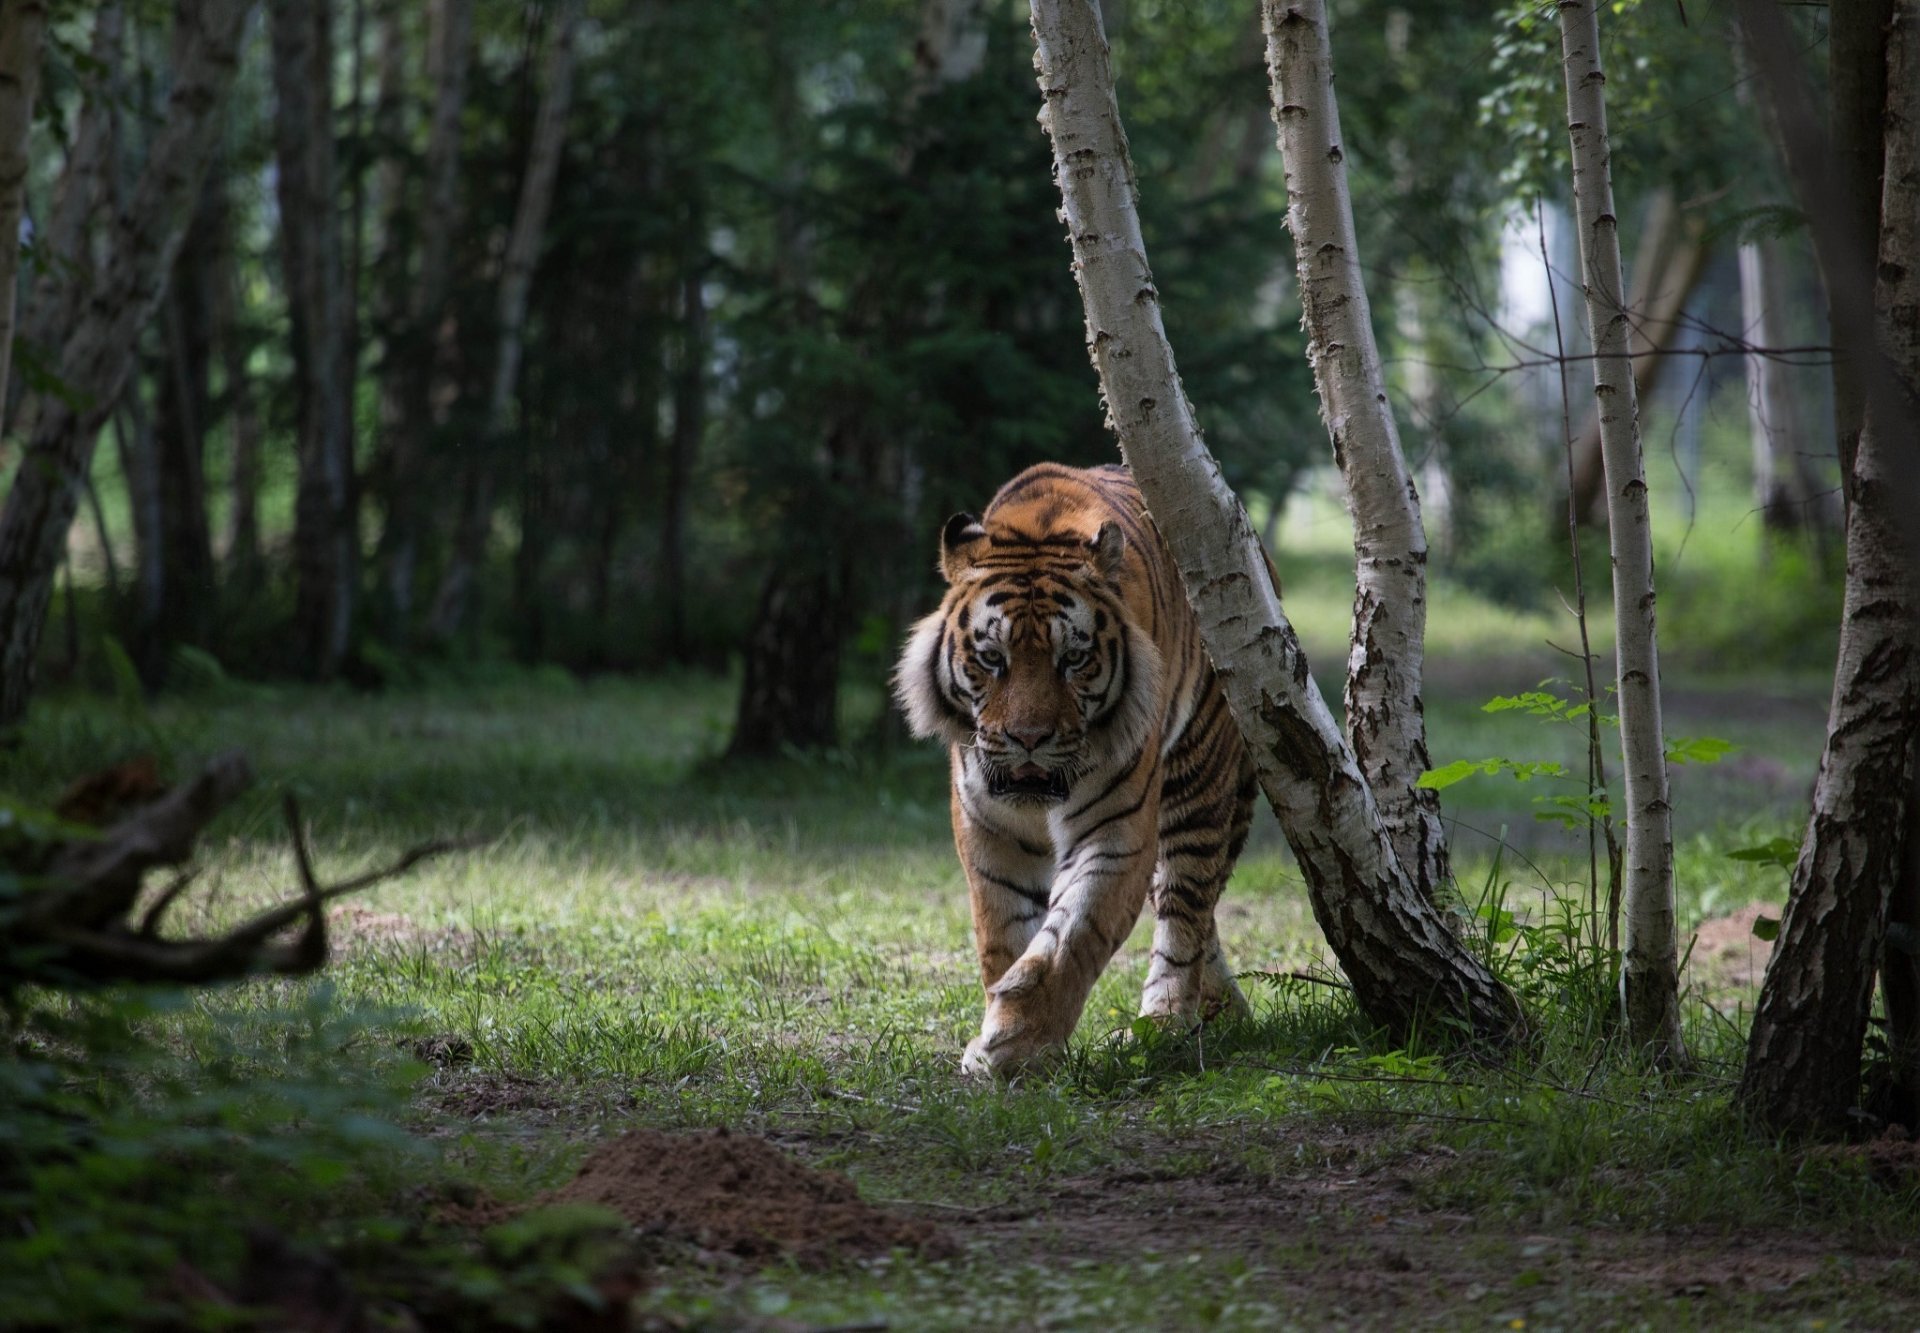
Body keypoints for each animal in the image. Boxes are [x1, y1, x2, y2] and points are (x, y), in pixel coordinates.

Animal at [894, 462, 1258, 1077]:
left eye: (1074, 659)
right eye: (992, 658)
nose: (1028, 738)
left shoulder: (1115, 832)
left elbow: (1068, 938)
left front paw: (1013, 1048)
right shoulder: (988, 829)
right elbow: (1004, 937)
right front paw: (1009, 1026)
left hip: (1197, 780)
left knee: (1187, 909)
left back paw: (1164, 1023)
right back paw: (1223, 1013)